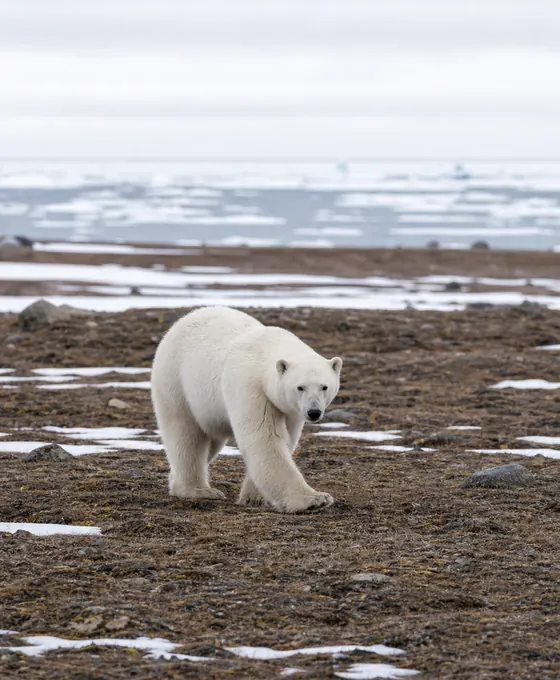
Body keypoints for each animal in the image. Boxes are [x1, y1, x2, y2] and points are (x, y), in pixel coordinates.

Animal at [151, 306, 343, 513]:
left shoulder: (289, 409)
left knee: (211, 440)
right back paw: (198, 490)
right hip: (176, 382)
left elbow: (286, 438)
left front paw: (255, 498)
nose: (314, 412)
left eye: (324, 387)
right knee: (187, 436)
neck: (267, 350)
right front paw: (314, 499)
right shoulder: (251, 387)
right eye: (300, 387)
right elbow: (263, 438)